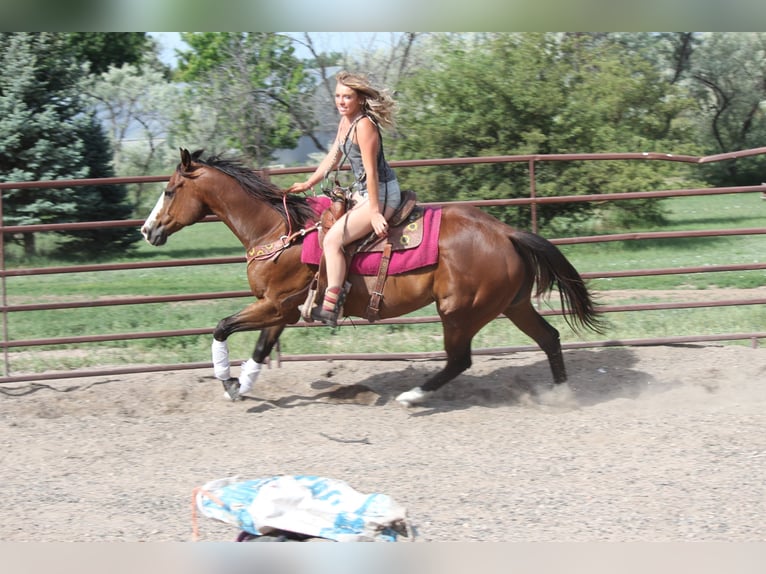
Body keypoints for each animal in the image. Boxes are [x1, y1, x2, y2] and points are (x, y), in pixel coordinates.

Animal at [141, 148, 603, 406]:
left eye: (169, 189)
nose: (148, 230)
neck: (279, 232)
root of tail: (506, 232)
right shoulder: (281, 310)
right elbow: (259, 349)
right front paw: (242, 386)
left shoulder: (273, 305)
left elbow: (222, 327)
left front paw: (225, 380)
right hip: (513, 304)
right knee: (549, 338)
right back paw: (561, 395)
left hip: (459, 312)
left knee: (460, 360)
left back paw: (412, 396)